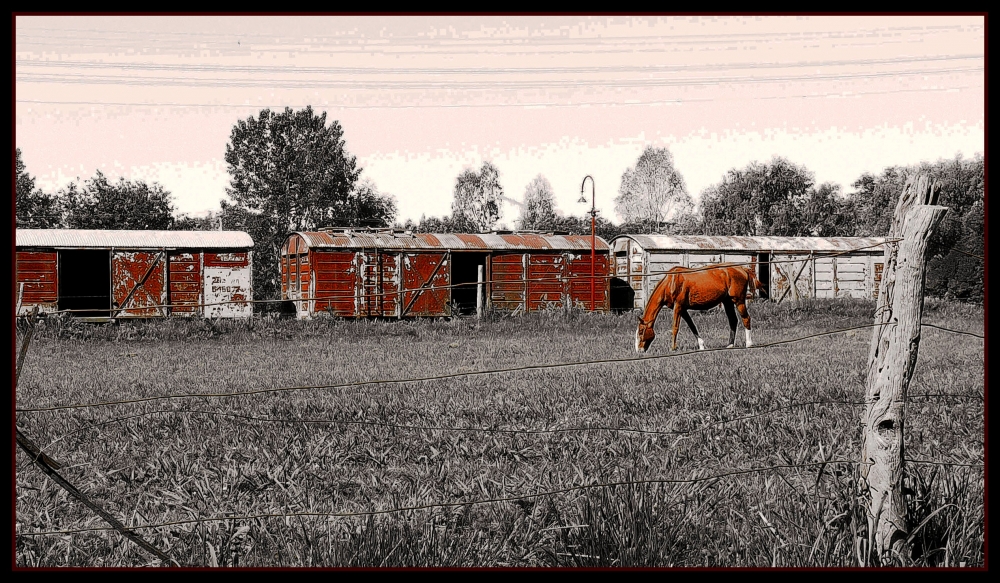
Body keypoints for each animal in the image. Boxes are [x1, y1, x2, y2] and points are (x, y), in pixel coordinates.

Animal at [632, 262, 764, 354]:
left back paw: (749, 343)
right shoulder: (683, 310)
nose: (639, 351)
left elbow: (675, 328)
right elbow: (692, 326)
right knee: (733, 320)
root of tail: (743, 269)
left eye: (641, 331)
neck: (671, 282)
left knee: (746, 318)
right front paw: (701, 345)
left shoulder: (678, 307)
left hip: (739, 301)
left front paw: (673, 348)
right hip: (727, 302)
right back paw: (730, 345)